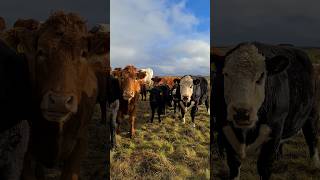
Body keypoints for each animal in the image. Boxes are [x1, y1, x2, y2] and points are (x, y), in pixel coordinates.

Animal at [212, 41, 320, 179]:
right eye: (226, 74)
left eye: (261, 76)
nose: (242, 112)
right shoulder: (225, 129)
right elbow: (234, 165)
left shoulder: (274, 130)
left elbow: (264, 167)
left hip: (312, 113)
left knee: (312, 137)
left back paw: (314, 165)